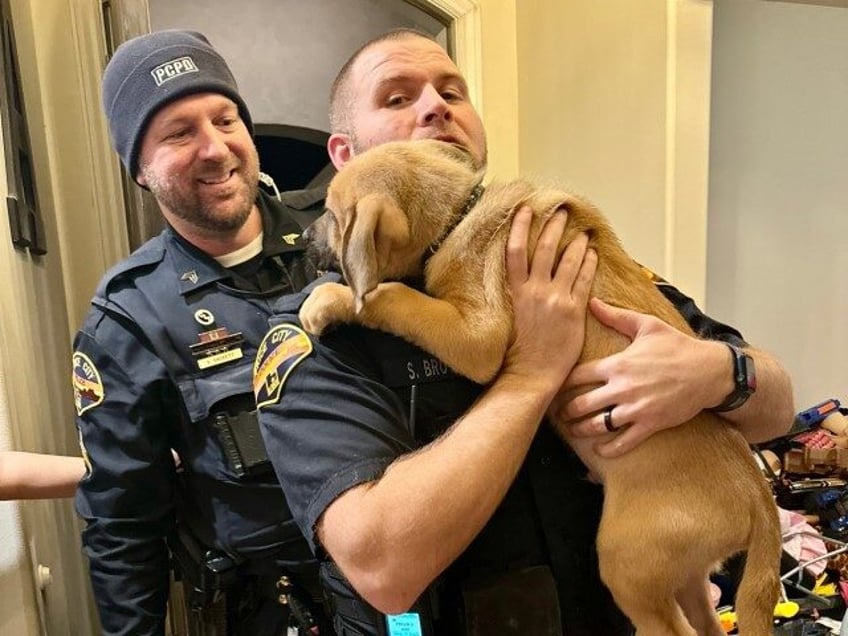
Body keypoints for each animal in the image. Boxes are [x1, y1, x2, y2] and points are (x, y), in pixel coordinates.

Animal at [300, 139, 780, 636]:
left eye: (332, 215)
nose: (301, 240)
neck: (456, 217)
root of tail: (761, 501)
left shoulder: (479, 336)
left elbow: (395, 296)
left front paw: (329, 300)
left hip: (628, 561)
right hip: (681, 575)